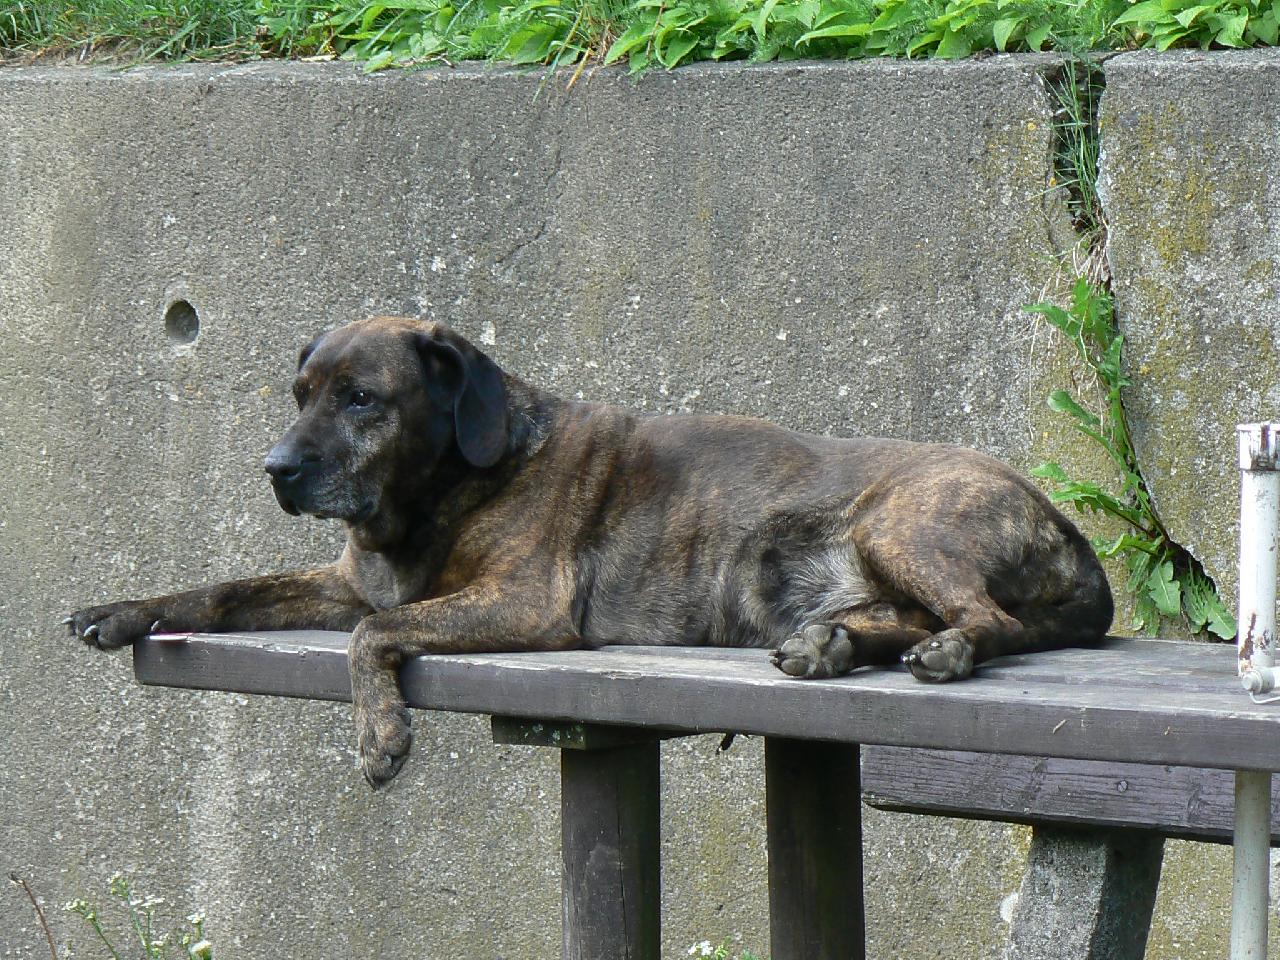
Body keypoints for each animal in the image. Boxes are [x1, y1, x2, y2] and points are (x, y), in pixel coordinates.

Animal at [68, 316, 1114, 787]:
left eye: (362, 399)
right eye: (299, 395)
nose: (276, 468)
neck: (441, 493)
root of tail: (1066, 530)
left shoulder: (519, 605)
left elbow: (375, 638)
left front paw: (380, 734)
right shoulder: (341, 584)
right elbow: (220, 588)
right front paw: (121, 610)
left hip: (899, 521)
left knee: (990, 621)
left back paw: (945, 650)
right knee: (900, 618)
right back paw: (835, 646)